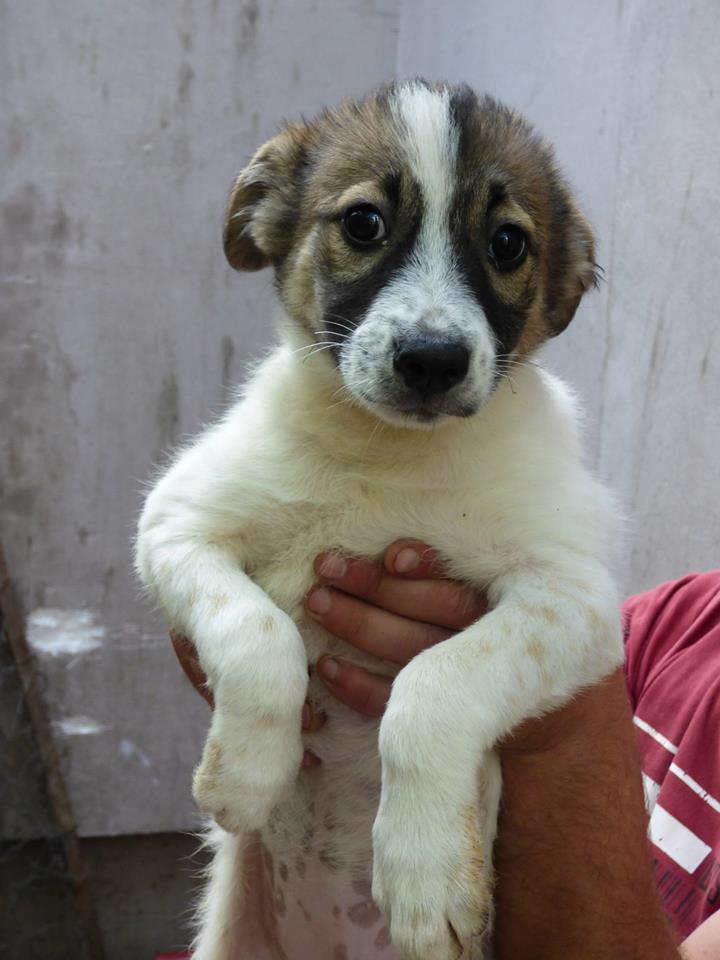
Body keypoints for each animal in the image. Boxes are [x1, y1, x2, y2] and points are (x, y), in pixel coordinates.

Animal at [136, 82, 624, 960]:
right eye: (363, 223)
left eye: (507, 242)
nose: (431, 360)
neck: (391, 455)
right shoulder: (175, 521)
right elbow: (257, 631)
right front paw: (247, 774)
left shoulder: (576, 599)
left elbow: (436, 682)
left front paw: (424, 874)